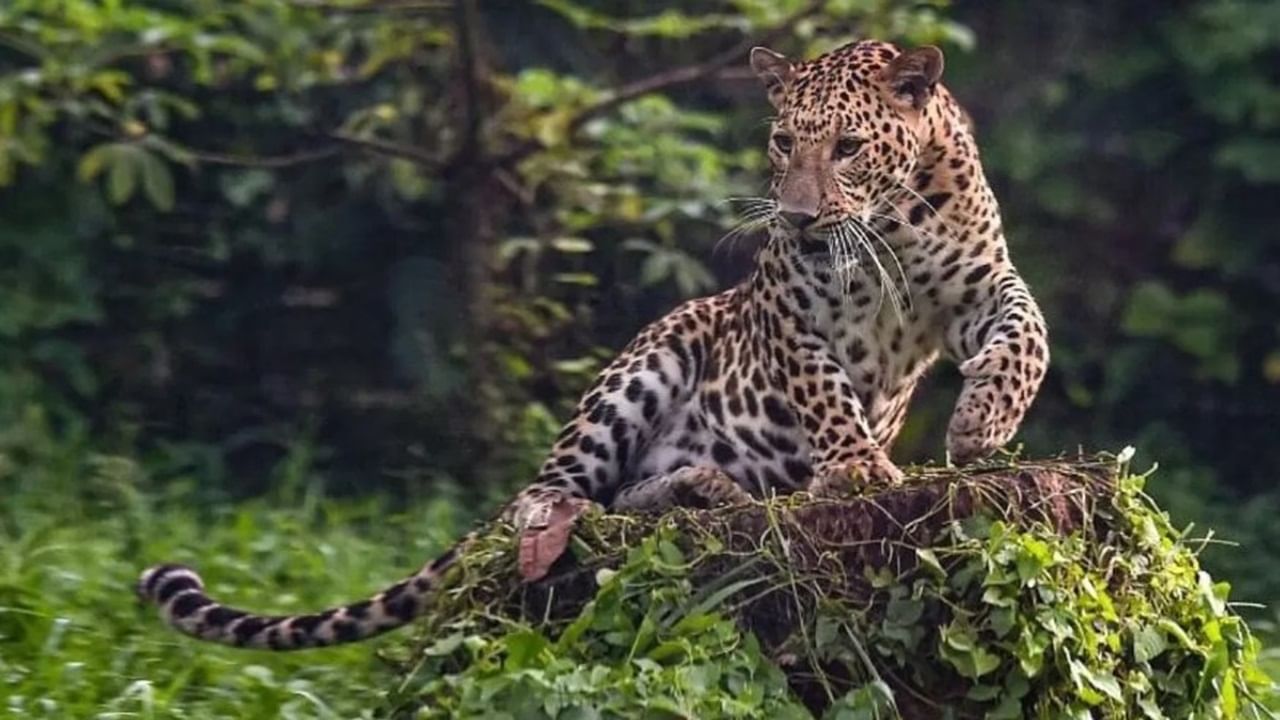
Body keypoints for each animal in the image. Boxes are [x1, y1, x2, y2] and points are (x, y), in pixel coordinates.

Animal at [138, 39, 1049, 650]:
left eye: (849, 148)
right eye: (785, 141)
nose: (794, 218)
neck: (891, 222)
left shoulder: (981, 283)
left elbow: (1027, 333)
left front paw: (981, 425)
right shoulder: (794, 313)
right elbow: (823, 389)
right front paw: (859, 467)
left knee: (627, 500)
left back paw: (706, 490)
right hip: (655, 355)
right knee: (549, 494)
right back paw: (585, 517)